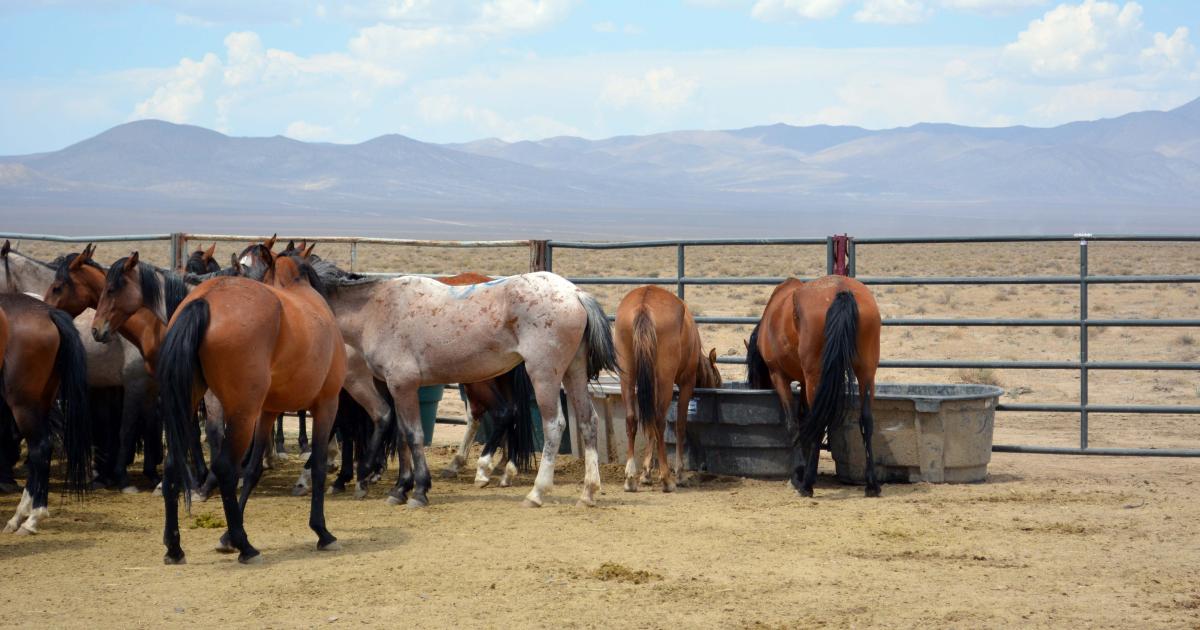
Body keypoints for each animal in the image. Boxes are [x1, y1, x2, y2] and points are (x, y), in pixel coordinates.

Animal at [0, 293, 91, 534]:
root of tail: (48, 312)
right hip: (41, 401)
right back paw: (19, 516)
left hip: (24, 404)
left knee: (40, 448)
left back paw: (32, 518)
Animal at [157, 243, 346, 563]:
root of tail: (205, 301)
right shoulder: (326, 405)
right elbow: (318, 465)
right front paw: (322, 531)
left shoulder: (268, 410)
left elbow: (253, 470)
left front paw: (225, 538)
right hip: (243, 413)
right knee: (224, 468)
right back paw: (246, 547)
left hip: (195, 405)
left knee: (173, 465)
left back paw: (174, 547)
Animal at [303, 256, 615, 509]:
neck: (375, 309)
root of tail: (575, 293)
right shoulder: (395, 388)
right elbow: (402, 435)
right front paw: (399, 488)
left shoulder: (401, 385)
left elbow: (412, 434)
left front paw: (416, 490)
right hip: (573, 372)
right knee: (588, 421)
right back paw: (588, 492)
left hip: (543, 375)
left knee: (553, 425)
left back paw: (536, 492)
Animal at [615, 285, 722, 493]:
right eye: (717, 380)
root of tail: (644, 304)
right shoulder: (686, 383)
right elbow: (680, 425)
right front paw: (679, 473)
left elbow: (648, 428)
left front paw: (646, 473)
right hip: (665, 380)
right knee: (659, 420)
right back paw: (667, 479)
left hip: (628, 377)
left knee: (632, 419)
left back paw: (630, 478)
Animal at [745, 276, 882, 498]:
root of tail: (841, 290)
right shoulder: (803, 381)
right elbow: (804, 418)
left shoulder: (779, 376)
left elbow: (794, 423)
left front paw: (798, 474)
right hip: (867, 373)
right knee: (866, 421)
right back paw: (872, 484)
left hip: (816, 377)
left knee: (819, 422)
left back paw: (807, 484)